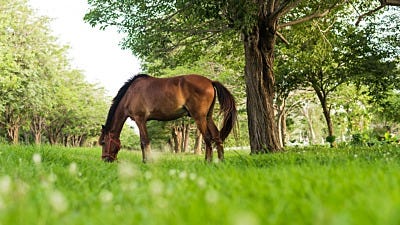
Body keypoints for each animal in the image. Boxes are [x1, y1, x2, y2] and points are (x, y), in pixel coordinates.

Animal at [100, 74, 238, 163]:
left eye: (103, 142)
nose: (106, 160)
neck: (130, 94)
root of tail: (210, 81)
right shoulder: (140, 121)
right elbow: (141, 142)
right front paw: (144, 161)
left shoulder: (140, 120)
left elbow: (145, 141)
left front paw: (148, 161)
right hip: (208, 117)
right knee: (216, 137)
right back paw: (220, 161)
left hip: (199, 117)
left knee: (208, 138)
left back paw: (208, 162)